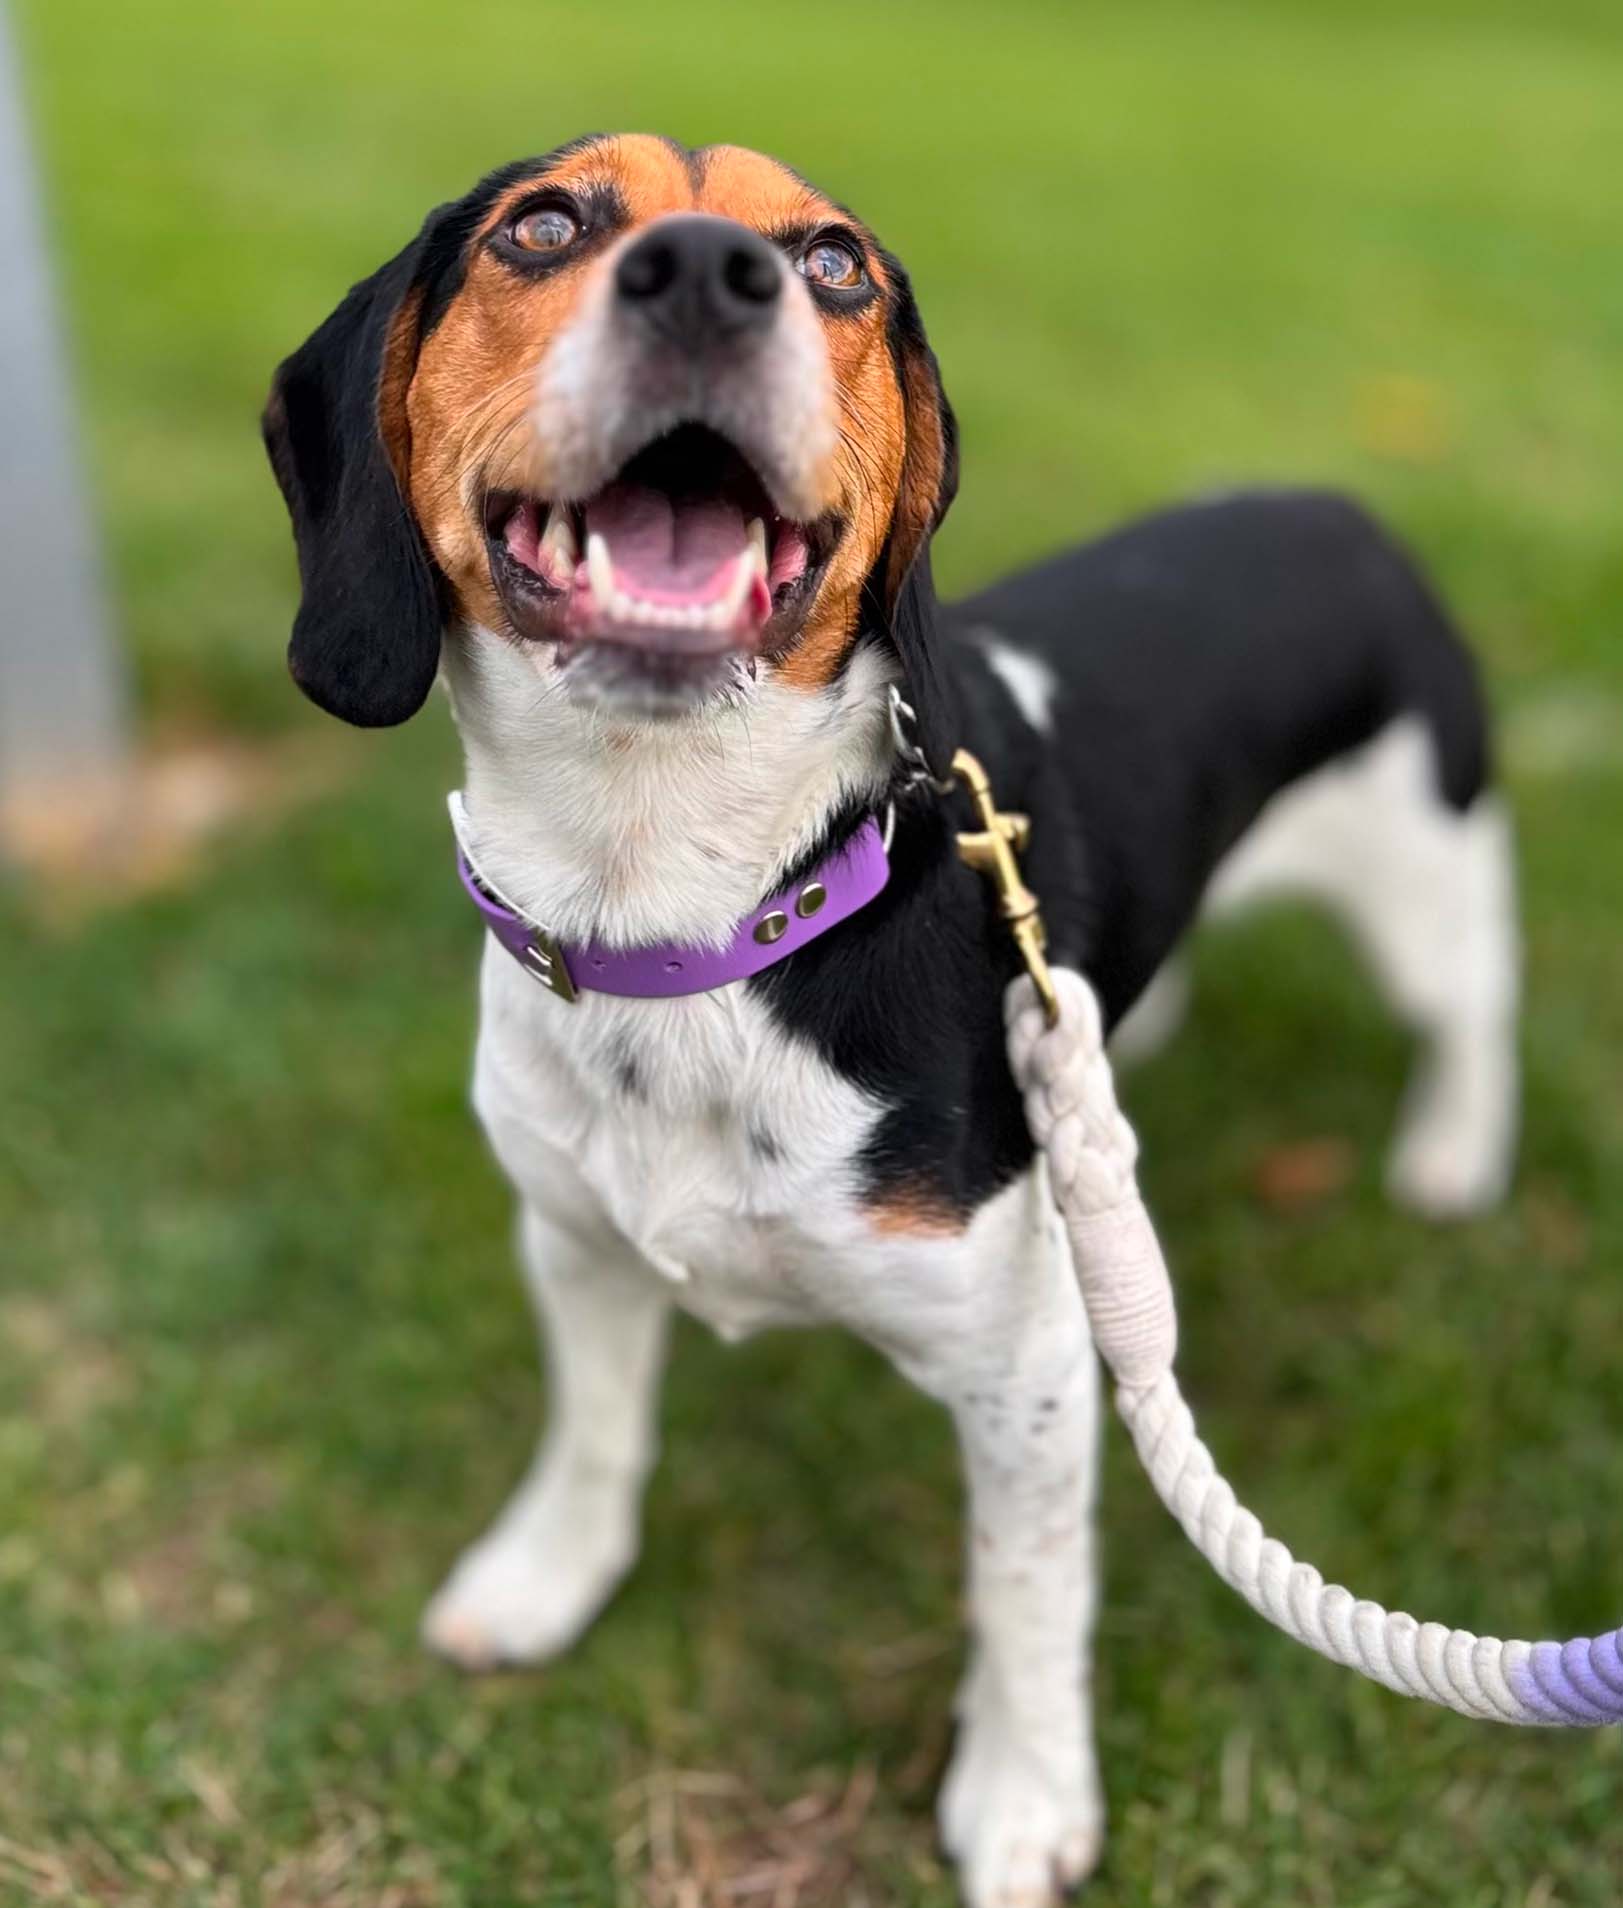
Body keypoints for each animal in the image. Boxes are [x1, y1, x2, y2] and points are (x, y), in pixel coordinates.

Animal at [264, 134, 1519, 1906]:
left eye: (834, 263)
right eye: (544, 223)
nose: (709, 274)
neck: (690, 921)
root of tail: (1326, 504)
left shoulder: (1031, 1369)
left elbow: (1021, 1590)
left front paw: (1022, 1798)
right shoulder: (572, 1244)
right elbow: (593, 1437)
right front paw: (542, 1582)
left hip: (1424, 864)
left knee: (1470, 1006)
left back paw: (1449, 1155)